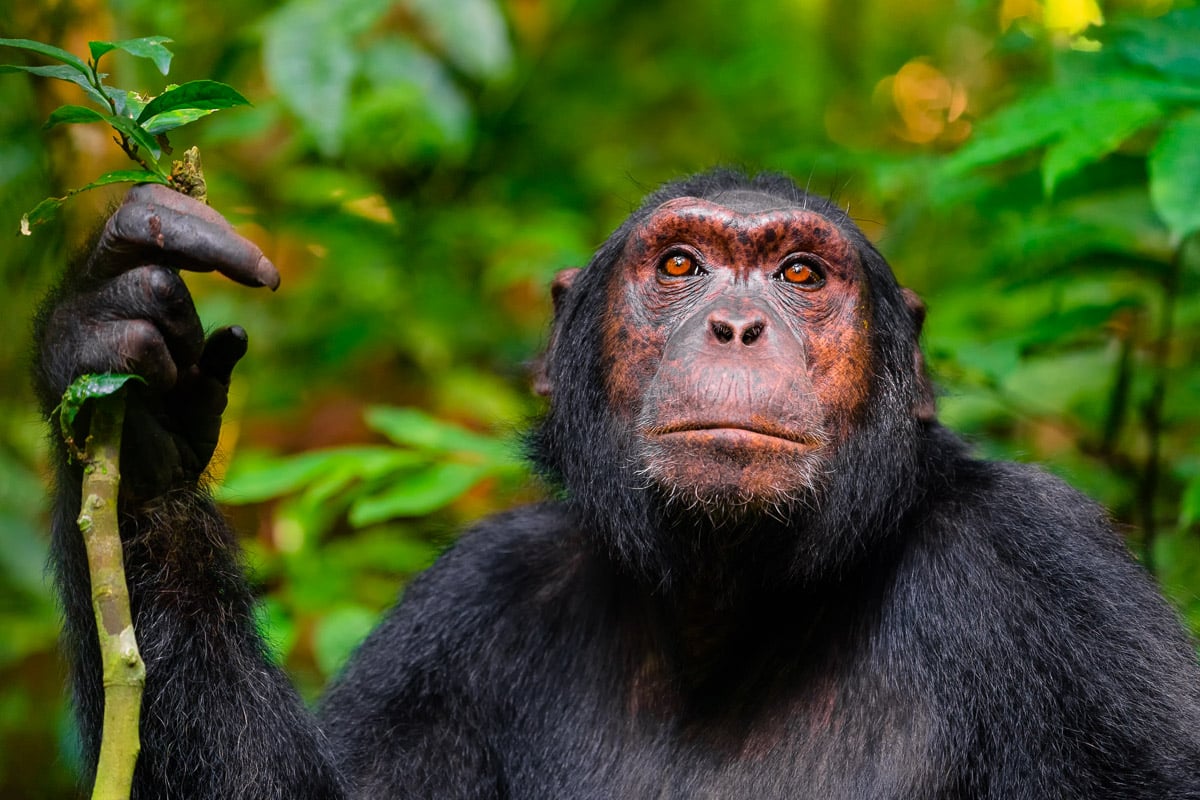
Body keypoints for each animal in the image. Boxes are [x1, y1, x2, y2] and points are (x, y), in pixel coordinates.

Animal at [30, 170, 1200, 800]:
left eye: (801, 275)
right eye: (680, 266)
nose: (738, 322)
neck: (737, 607)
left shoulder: (1055, 574)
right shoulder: (469, 606)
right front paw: (130, 388)